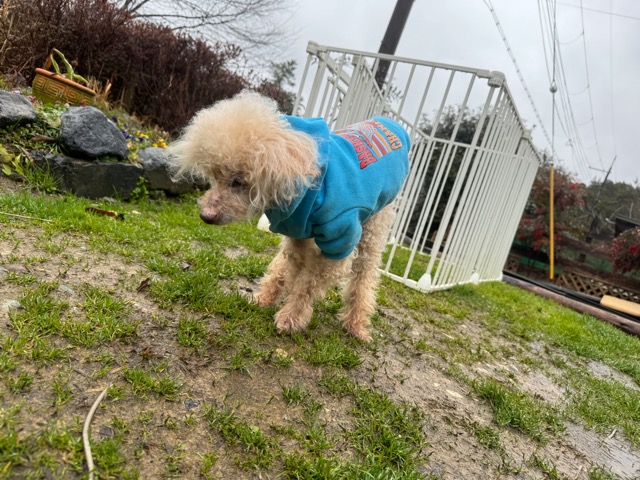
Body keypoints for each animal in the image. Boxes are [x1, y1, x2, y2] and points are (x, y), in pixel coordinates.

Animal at [171, 91, 410, 341]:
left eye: (238, 181)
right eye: (215, 177)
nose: (205, 216)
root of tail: (389, 125)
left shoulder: (339, 243)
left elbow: (308, 284)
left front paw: (291, 316)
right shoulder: (297, 233)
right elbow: (286, 268)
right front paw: (265, 298)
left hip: (373, 226)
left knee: (363, 277)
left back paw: (356, 324)